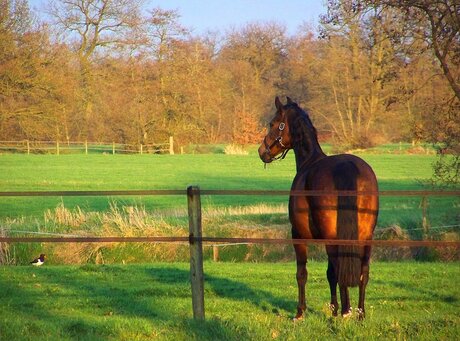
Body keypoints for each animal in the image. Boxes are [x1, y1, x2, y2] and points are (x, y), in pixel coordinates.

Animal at [256, 97, 380, 320]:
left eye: (273, 123)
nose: (262, 152)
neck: (309, 161)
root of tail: (348, 168)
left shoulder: (298, 235)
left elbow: (302, 274)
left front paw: (300, 312)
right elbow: (330, 274)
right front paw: (333, 309)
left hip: (333, 238)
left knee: (340, 270)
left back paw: (347, 311)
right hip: (366, 238)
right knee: (363, 272)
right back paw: (359, 313)